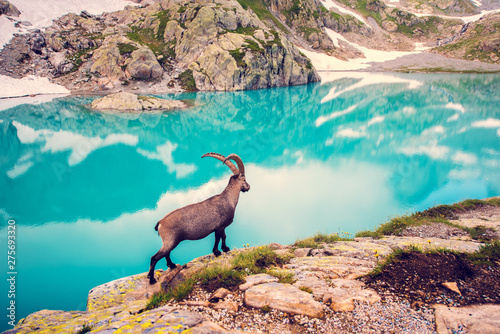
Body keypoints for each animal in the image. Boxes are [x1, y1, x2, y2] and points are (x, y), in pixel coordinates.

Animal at [147, 153, 250, 284]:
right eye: (244, 179)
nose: (248, 187)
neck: (228, 199)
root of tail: (160, 222)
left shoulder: (218, 228)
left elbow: (219, 237)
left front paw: (219, 251)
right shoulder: (220, 226)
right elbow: (221, 237)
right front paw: (222, 250)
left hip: (170, 241)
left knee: (166, 253)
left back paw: (172, 265)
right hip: (170, 240)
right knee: (155, 257)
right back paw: (152, 279)